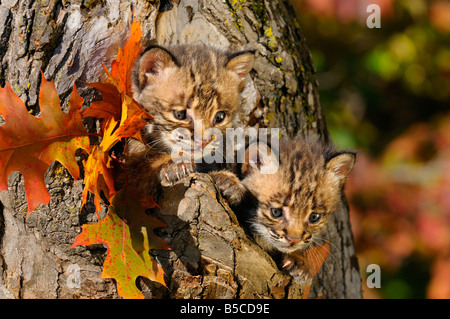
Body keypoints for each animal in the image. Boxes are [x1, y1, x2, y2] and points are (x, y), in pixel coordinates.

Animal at [123, 44, 255, 195]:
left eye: (219, 117)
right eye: (179, 115)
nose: (203, 142)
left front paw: (228, 181)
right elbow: (142, 169)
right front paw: (174, 165)